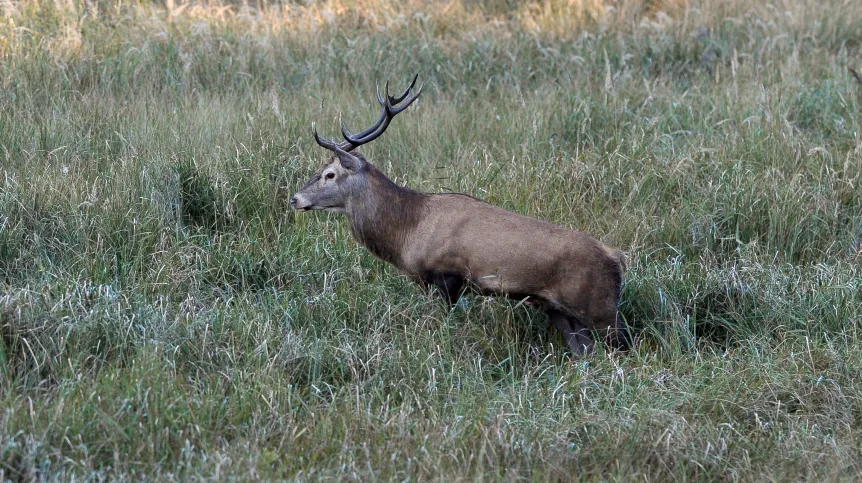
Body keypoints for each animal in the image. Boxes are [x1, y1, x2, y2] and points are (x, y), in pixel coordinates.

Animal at [290, 75, 628, 356]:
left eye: (330, 174)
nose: (295, 198)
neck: (408, 231)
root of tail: (617, 259)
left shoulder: (447, 274)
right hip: (559, 310)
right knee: (584, 352)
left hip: (600, 305)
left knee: (624, 345)